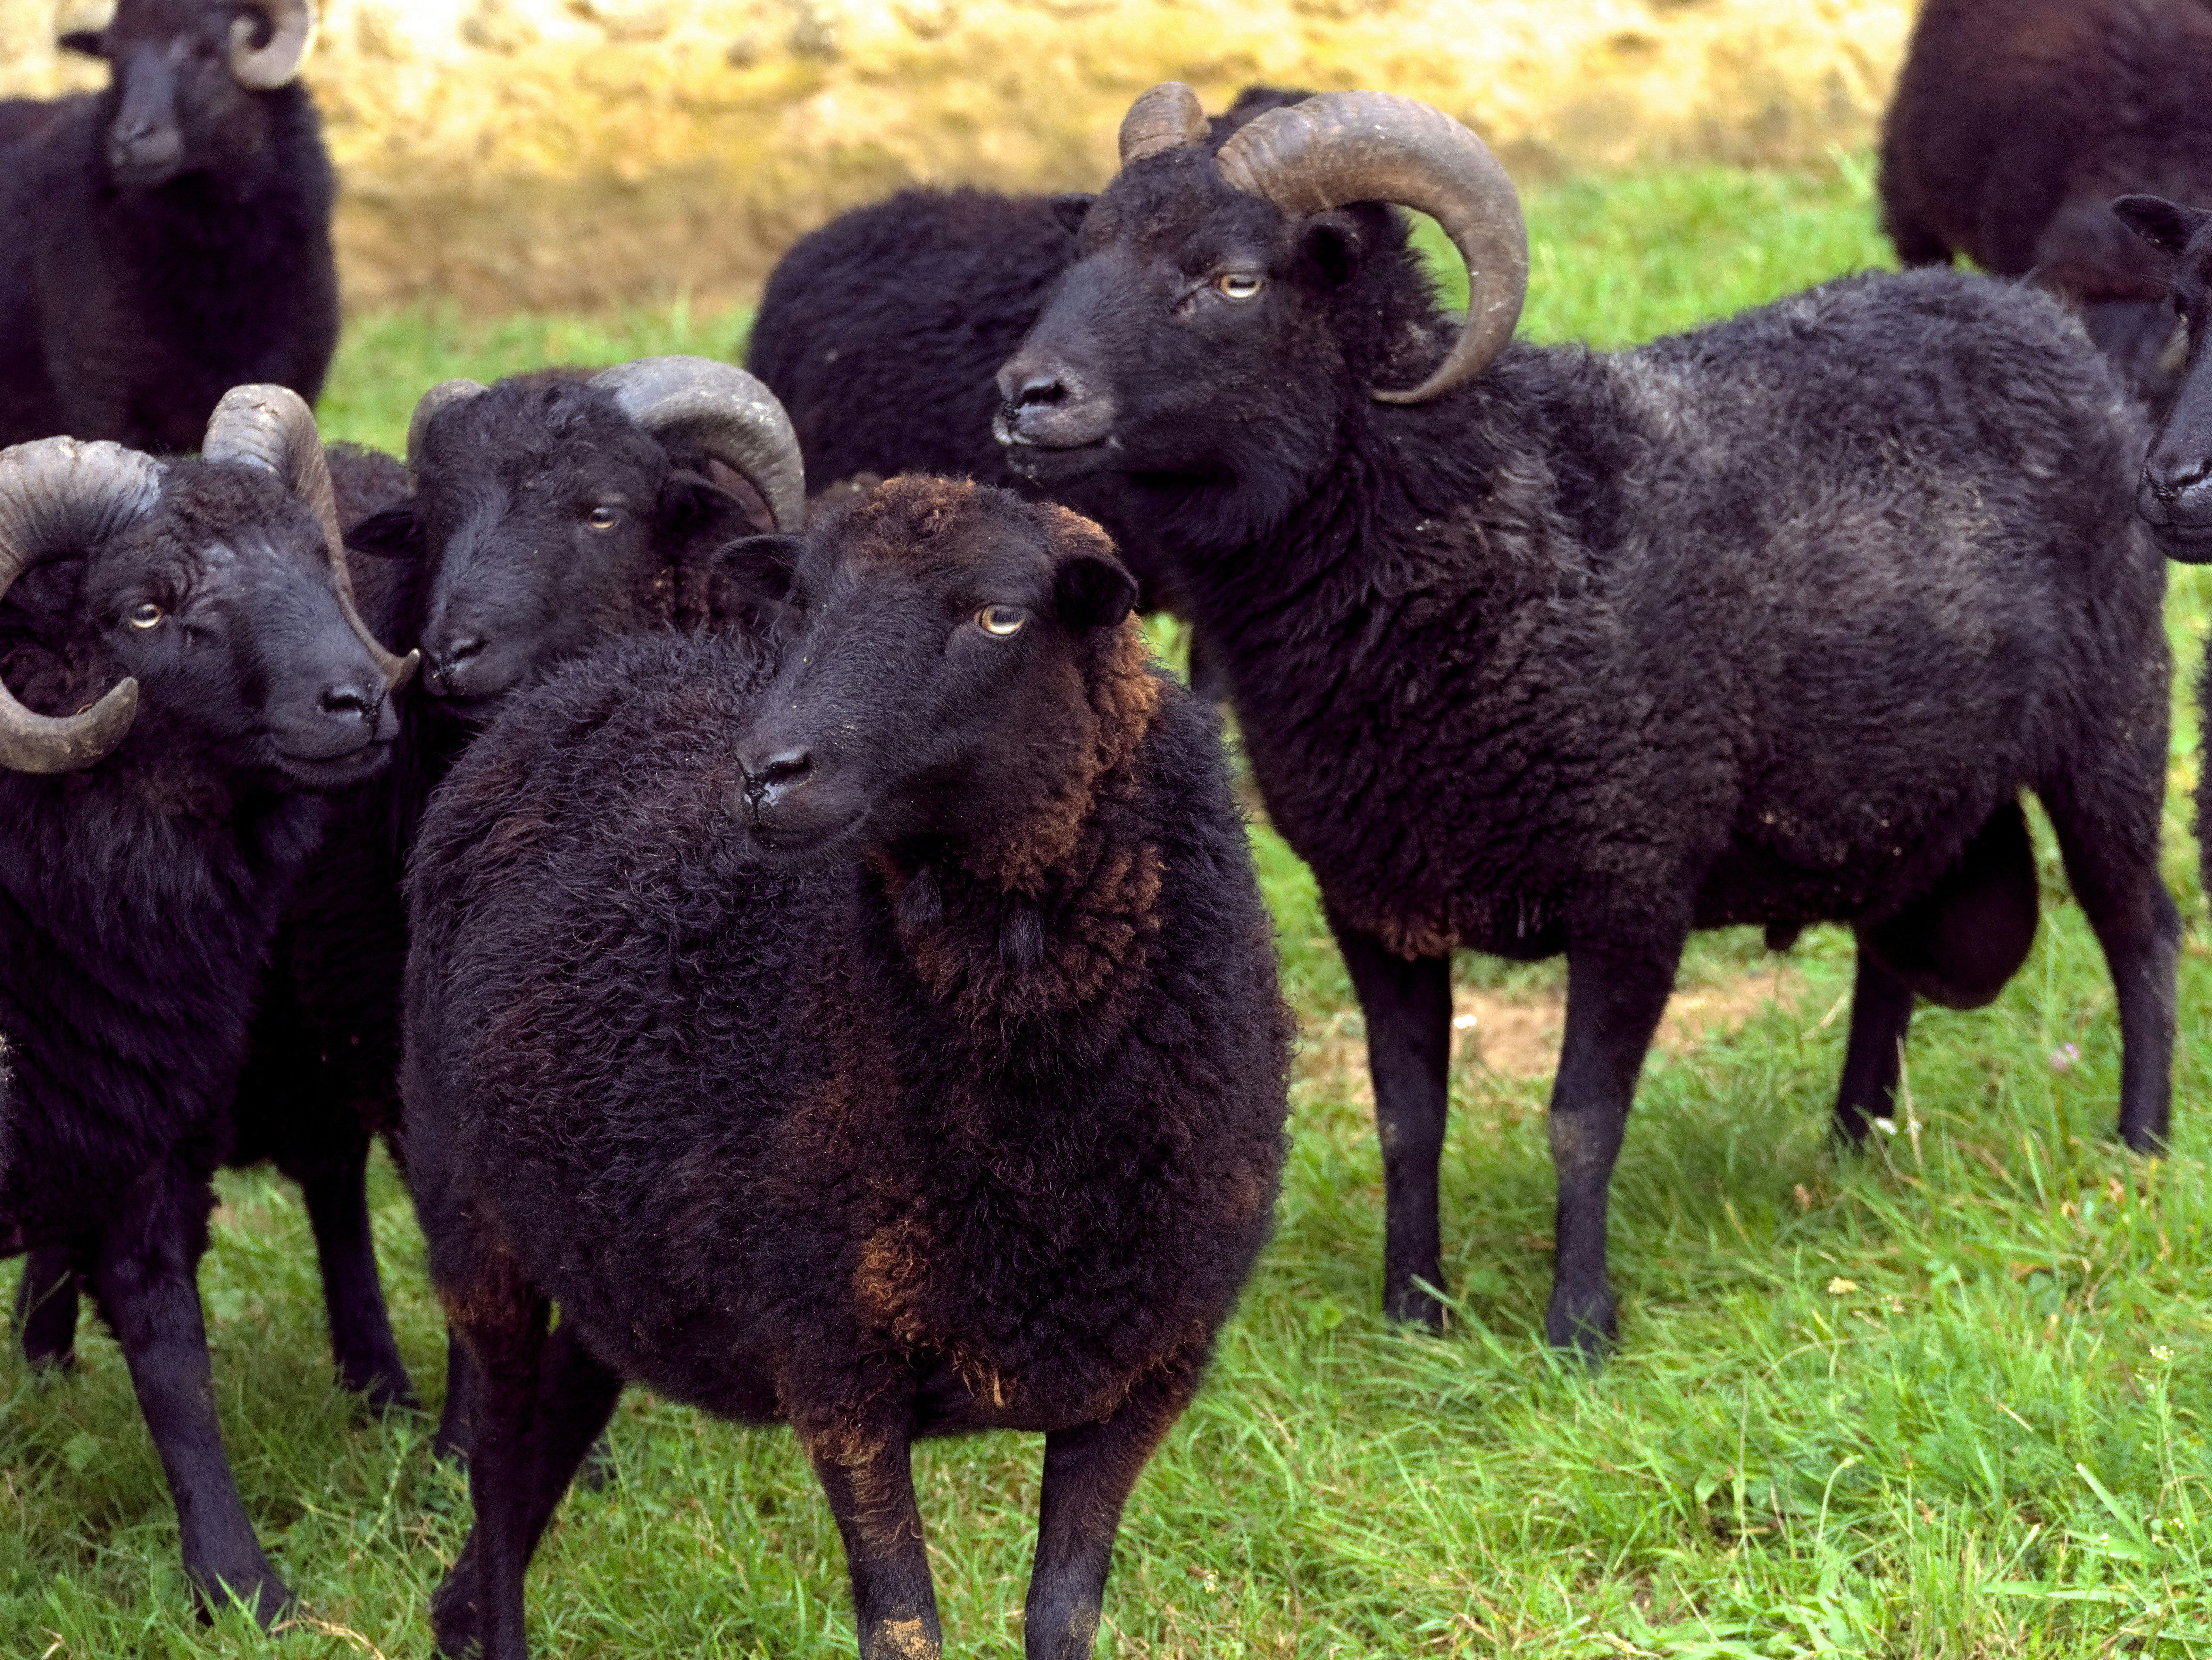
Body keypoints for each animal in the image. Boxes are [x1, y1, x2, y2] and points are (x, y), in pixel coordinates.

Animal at [0, 385, 413, 1619]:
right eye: (146, 607)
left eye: (319, 561)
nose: (358, 703)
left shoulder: (145, 1119)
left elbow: (171, 1348)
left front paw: (240, 1585)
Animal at [399, 476, 1292, 1660]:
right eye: (803, 602)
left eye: (1000, 616)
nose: (767, 774)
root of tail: (596, 673)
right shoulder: (835, 1361)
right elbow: (905, 1626)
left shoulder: (1143, 1373)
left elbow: (1062, 1618)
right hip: (470, 1212)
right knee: (498, 1460)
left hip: (606, 1237)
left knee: (558, 1407)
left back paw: (455, 1612)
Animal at [995, 85, 2179, 1356]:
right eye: (1086, 248)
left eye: (1233, 279)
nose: (1025, 396)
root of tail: (2029, 310)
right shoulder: (1371, 897)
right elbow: (1407, 1117)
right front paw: (1414, 1315)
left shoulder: (1633, 879)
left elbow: (1580, 1118)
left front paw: (1577, 1330)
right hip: (1894, 787)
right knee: (1886, 949)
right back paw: (1853, 1142)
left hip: (2115, 711)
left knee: (2139, 928)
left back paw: (2138, 1147)